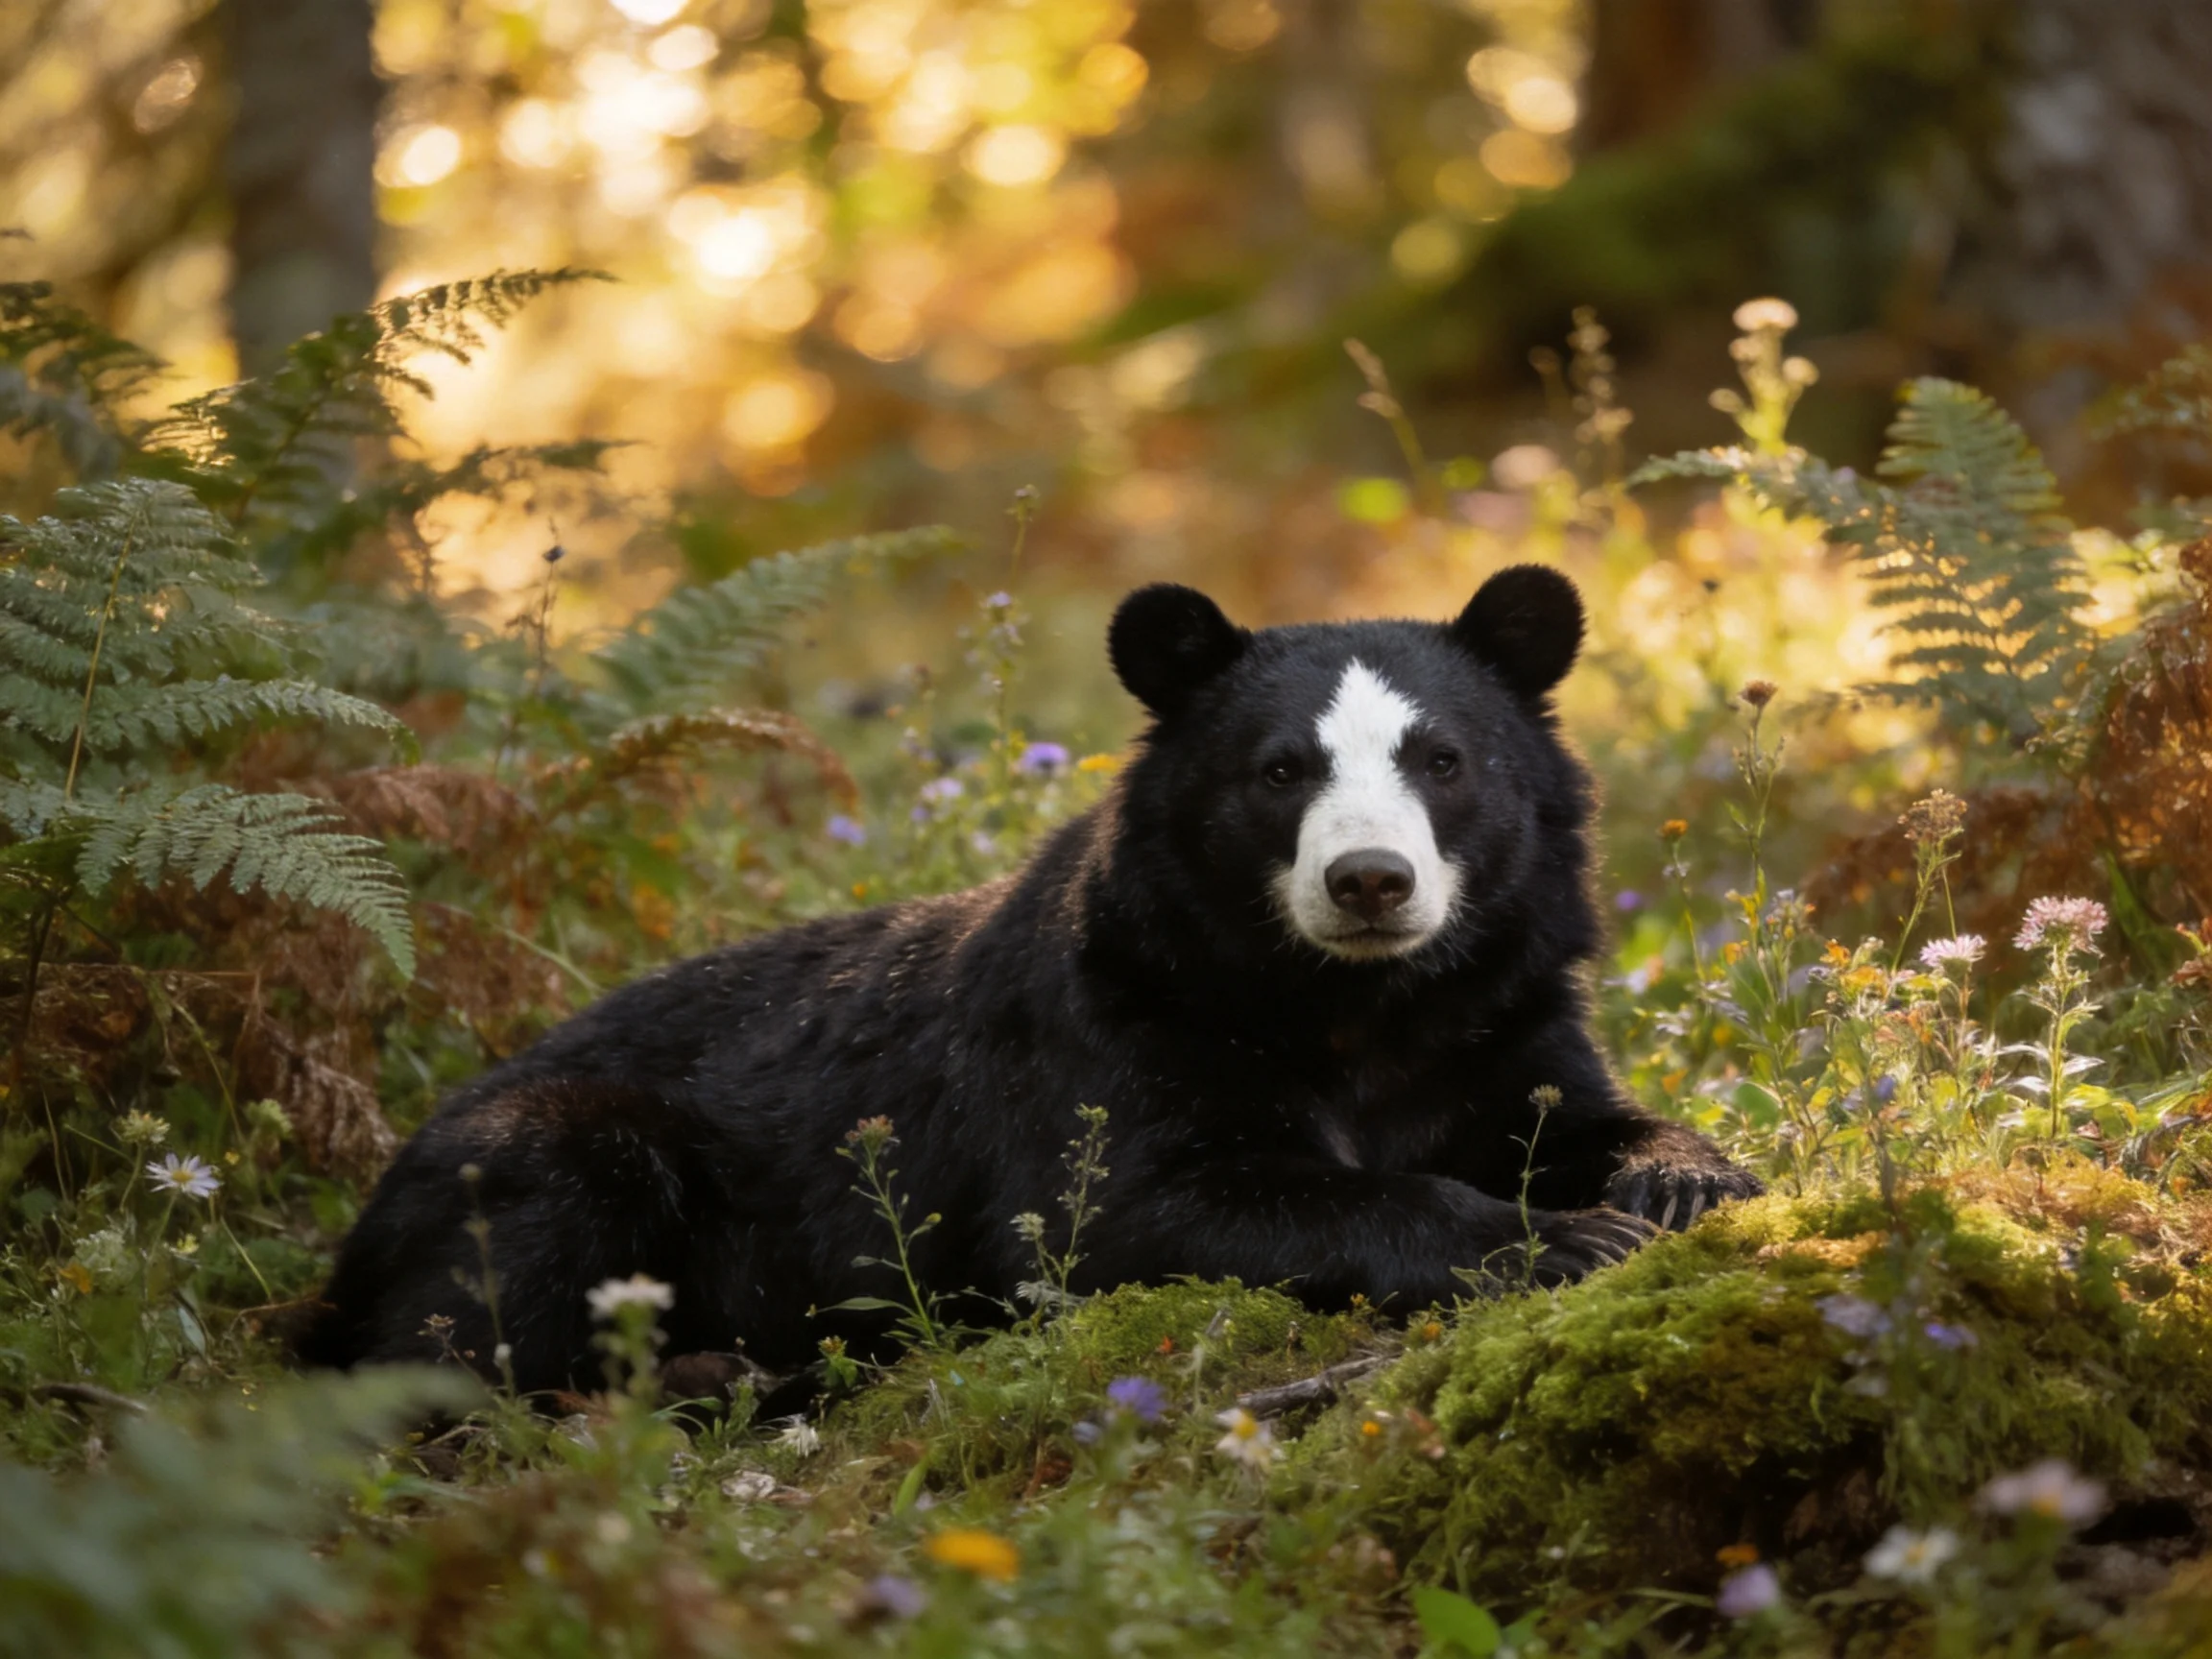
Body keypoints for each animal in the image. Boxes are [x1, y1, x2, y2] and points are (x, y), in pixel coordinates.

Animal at [299, 565, 1761, 1396]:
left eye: (1442, 761)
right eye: (1280, 771)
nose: (1369, 884)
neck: (1356, 1005)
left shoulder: (1499, 1009)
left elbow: (1573, 1111)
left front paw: (1680, 1182)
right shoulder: (1118, 1030)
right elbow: (1123, 1210)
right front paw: (1563, 1240)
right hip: (540, 1149)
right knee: (466, 1325)